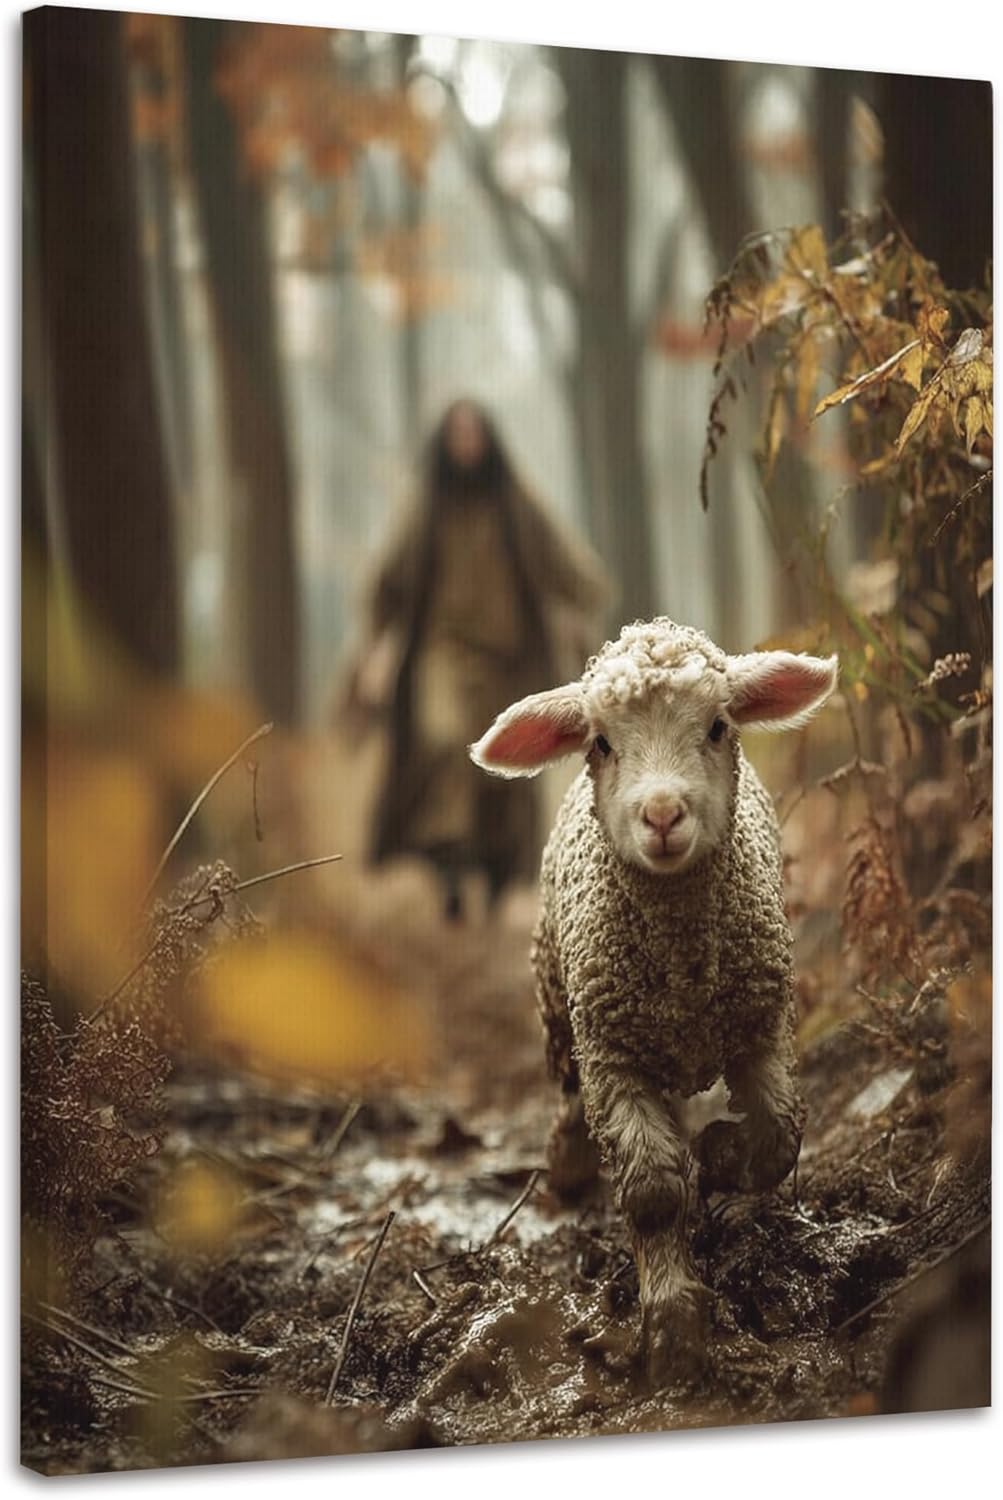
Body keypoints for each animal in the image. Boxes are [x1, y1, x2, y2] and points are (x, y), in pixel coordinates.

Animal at [470, 618, 837, 1381]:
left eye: (719, 727)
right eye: (601, 743)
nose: (663, 814)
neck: (682, 968)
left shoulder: (761, 1026)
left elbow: (777, 1135)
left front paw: (718, 1159)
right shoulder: (613, 1058)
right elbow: (651, 1189)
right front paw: (672, 1325)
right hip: (563, 1012)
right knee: (569, 1099)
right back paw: (568, 1166)